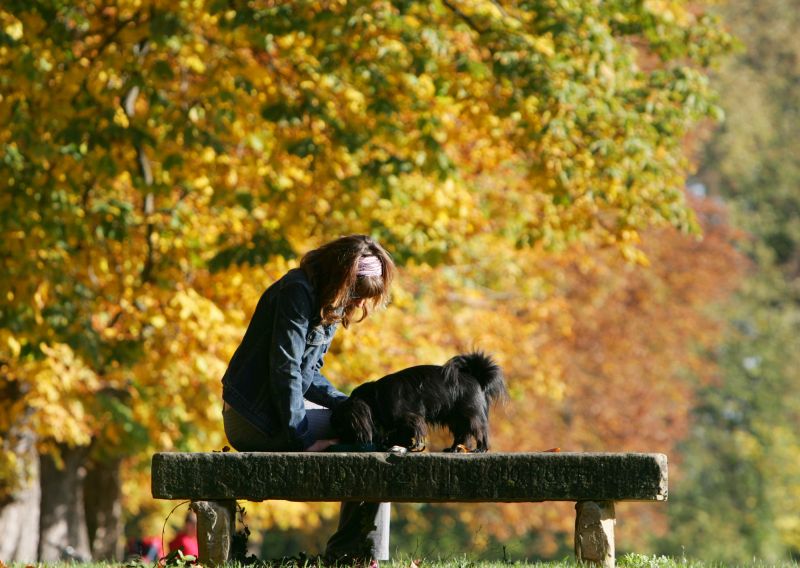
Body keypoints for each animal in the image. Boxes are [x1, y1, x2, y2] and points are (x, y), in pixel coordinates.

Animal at [330, 350, 506, 452]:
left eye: (342, 427)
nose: (338, 440)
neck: (373, 398)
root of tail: (476, 378)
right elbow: (400, 433)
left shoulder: (410, 418)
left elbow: (411, 431)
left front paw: (409, 446)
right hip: (455, 418)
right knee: (462, 434)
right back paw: (453, 449)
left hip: (469, 414)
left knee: (480, 431)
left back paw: (480, 449)